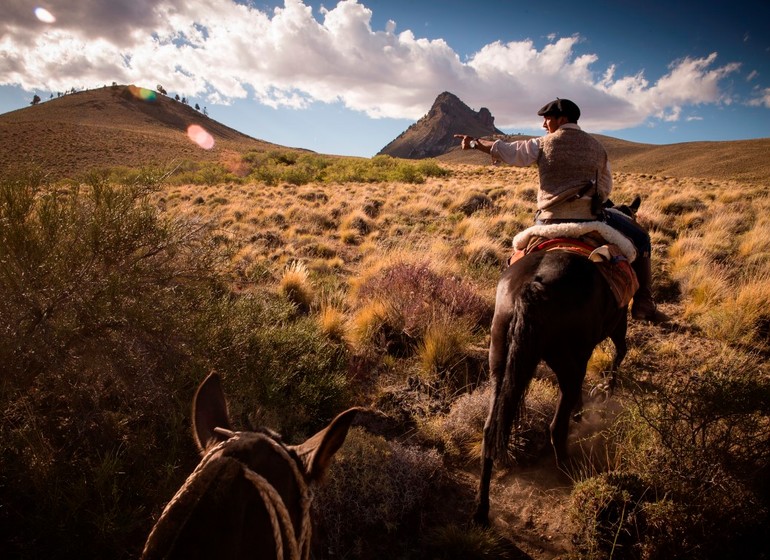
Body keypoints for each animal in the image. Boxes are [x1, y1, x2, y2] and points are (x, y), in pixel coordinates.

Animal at [472, 245, 628, 524]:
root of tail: (533, 287)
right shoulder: (612, 327)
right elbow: (620, 351)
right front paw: (605, 389)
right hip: (564, 356)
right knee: (558, 421)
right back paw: (570, 471)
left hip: (499, 359)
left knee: (490, 430)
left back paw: (481, 508)